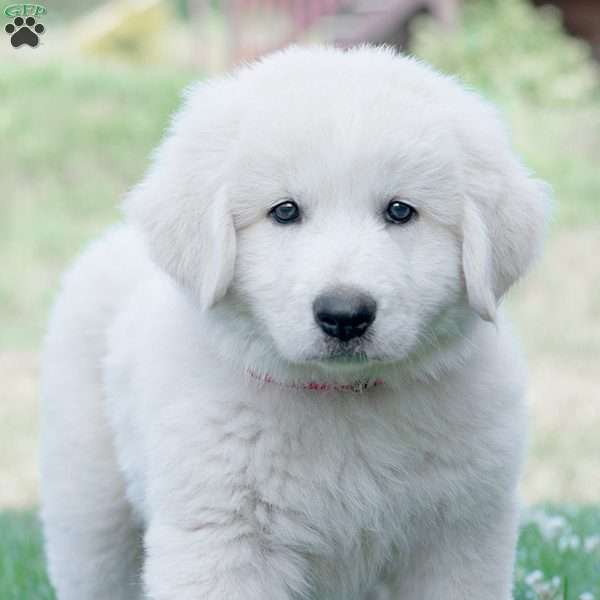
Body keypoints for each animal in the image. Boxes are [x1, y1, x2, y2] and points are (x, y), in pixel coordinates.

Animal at [41, 43, 548, 600]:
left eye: (400, 211)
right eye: (284, 211)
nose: (345, 316)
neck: (344, 402)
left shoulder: (459, 535)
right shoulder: (224, 538)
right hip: (91, 505)